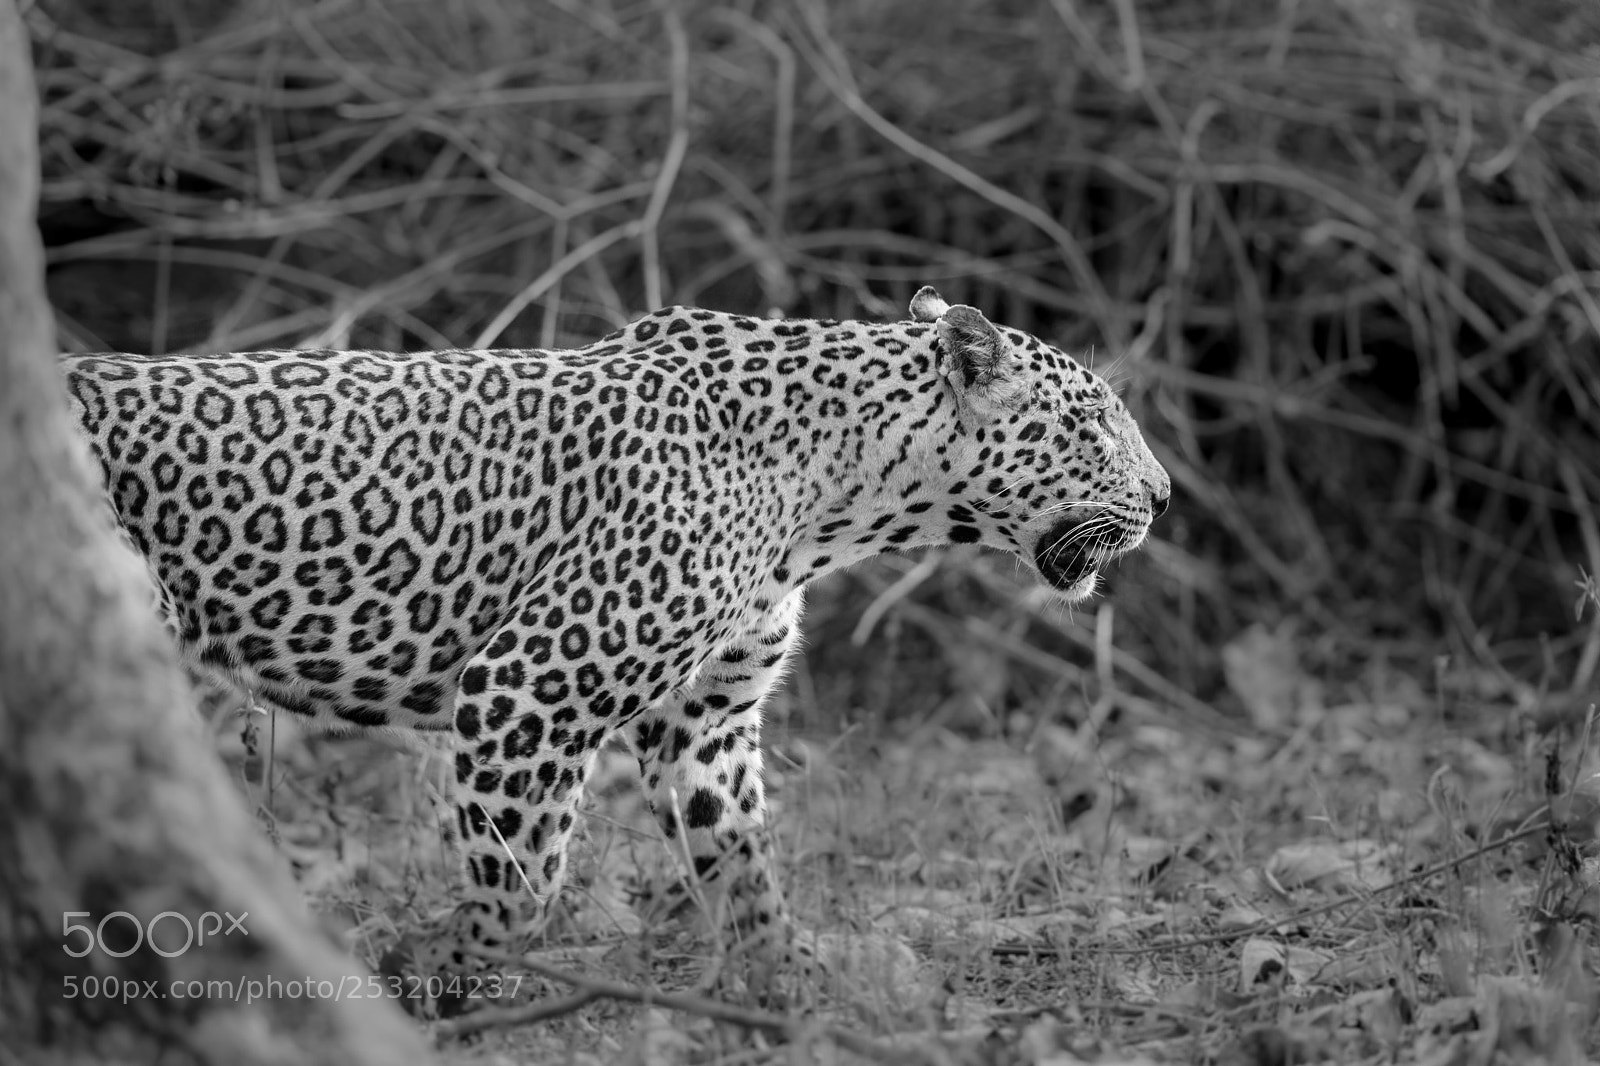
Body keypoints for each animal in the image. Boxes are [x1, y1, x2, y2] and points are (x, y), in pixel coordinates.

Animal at [62, 286, 1170, 1002]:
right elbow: (521, 879)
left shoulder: (707, 720)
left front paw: (791, 986)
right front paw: (449, 981)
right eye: (1098, 423)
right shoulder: (529, 687)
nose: (1163, 495)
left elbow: (742, 864)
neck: (839, 496)